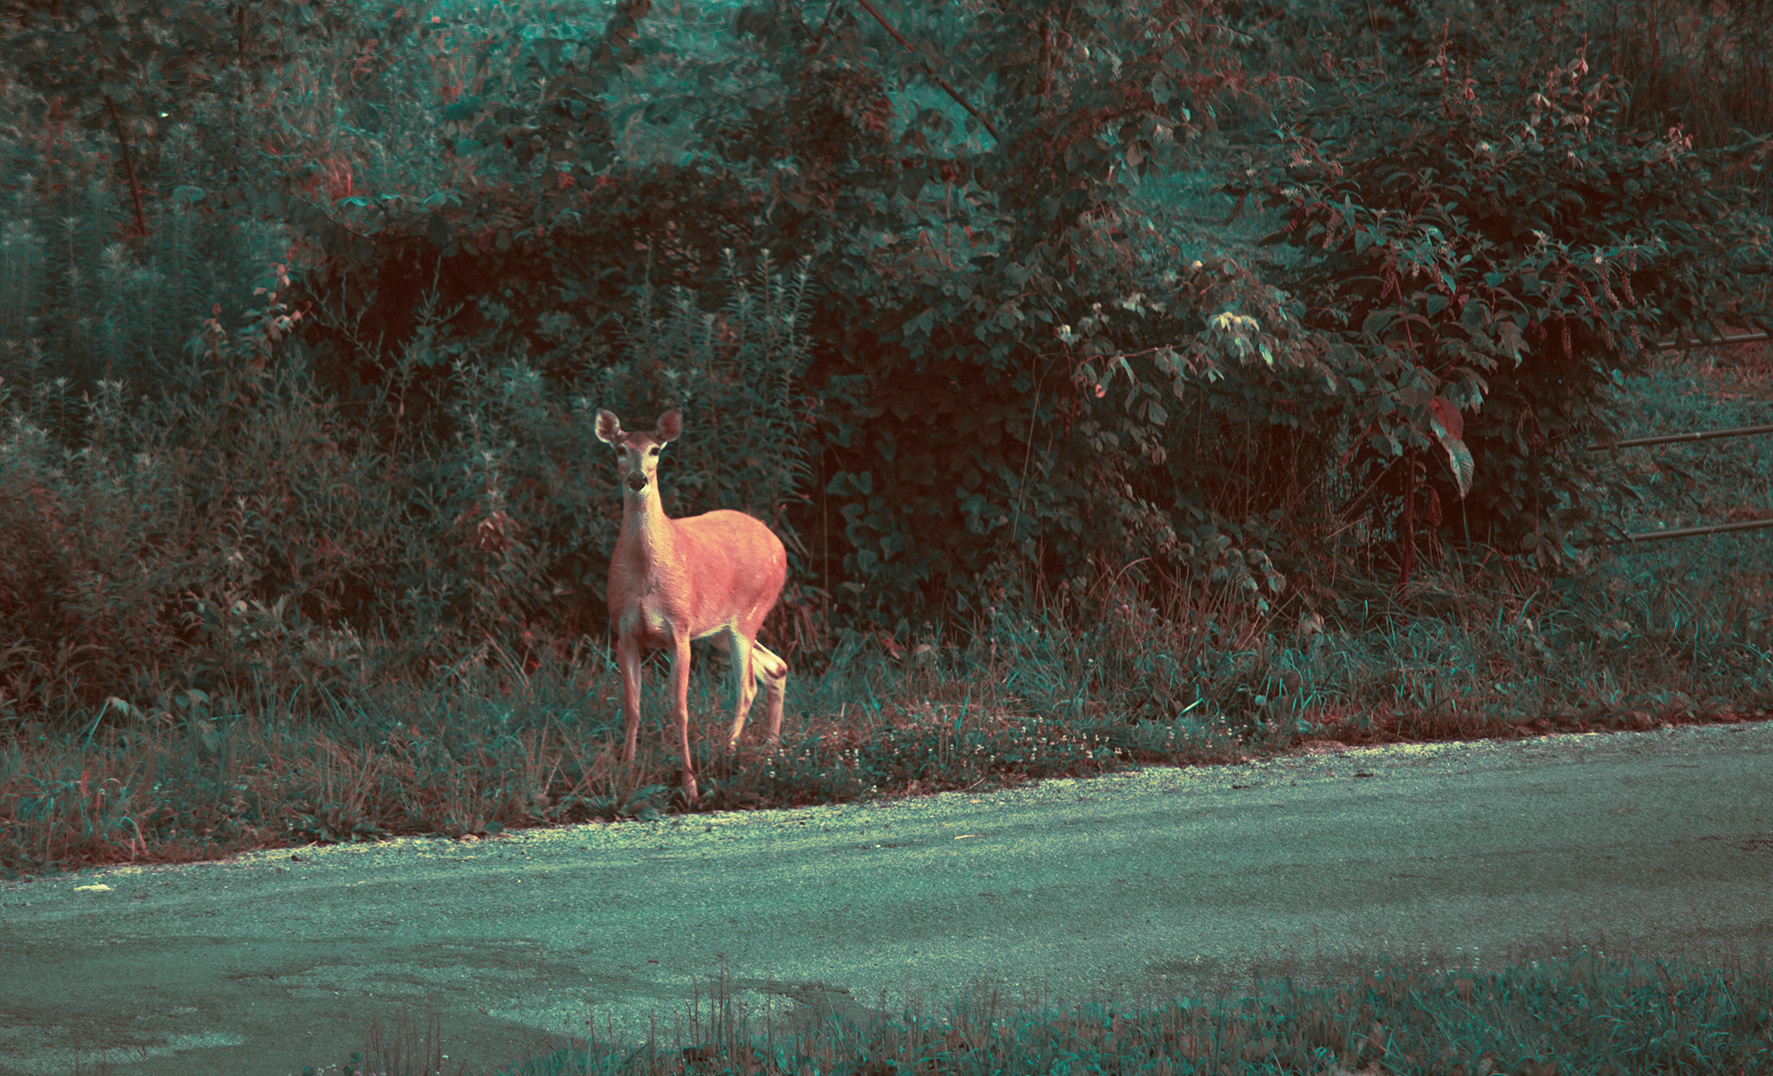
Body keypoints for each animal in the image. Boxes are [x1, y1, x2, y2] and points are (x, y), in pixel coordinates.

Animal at [594, 408, 789, 804]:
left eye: (655, 450)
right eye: (620, 449)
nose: (638, 479)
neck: (644, 575)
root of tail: (779, 545)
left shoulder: (678, 630)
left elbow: (680, 709)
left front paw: (691, 786)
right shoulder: (624, 633)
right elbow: (632, 708)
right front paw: (625, 777)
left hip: (748, 615)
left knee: (747, 685)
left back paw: (728, 754)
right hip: (719, 630)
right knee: (777, 667)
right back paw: (769, 753)